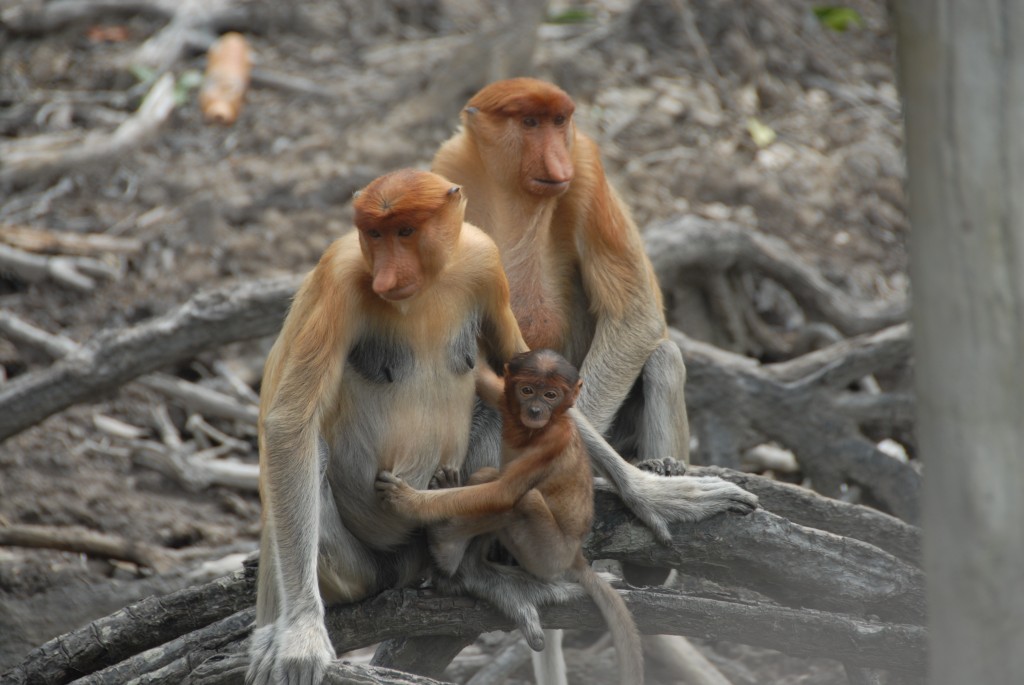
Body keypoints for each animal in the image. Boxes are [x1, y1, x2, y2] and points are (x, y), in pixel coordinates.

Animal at [247, 169, 573, 683]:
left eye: (404, 231)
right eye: (374, 234)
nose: (386, 276)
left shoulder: (484, 258)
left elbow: (517, 364)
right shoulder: (340, 276)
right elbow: (287, 425)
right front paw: (300, 636)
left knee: (503, 417)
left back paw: (466, 569)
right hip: (360, 567)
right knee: (308, 454)